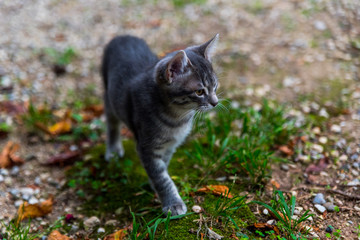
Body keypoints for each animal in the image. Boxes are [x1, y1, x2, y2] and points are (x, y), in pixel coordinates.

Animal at [101, 34, 219, 216]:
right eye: (199, 91)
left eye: (215, 86)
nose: (216, 102)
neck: (177, 118)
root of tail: (122, 36)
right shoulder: (147, 147)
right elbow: (161, 176)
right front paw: (172, 202)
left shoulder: (171, 144)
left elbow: (163, 164)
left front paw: (154, 184)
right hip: (109, 97)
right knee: (112, 123)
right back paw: (113, 148)